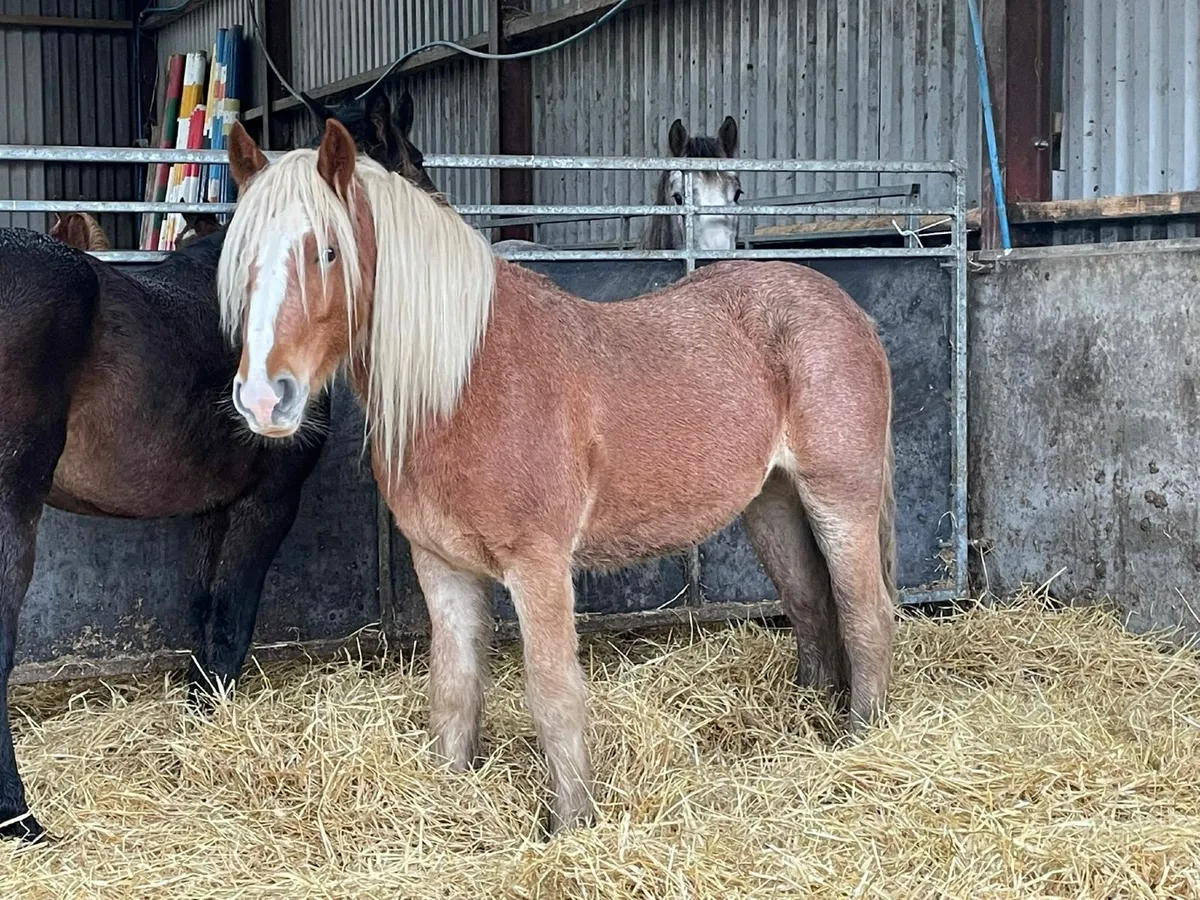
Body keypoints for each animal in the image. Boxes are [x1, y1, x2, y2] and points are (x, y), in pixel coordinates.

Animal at [0, 88, 435, 844]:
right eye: (414, 165)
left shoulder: (212, 508)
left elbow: (205, 609)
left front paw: (198, 721)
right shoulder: (267, 503)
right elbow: (234, 612)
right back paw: (21, 819)